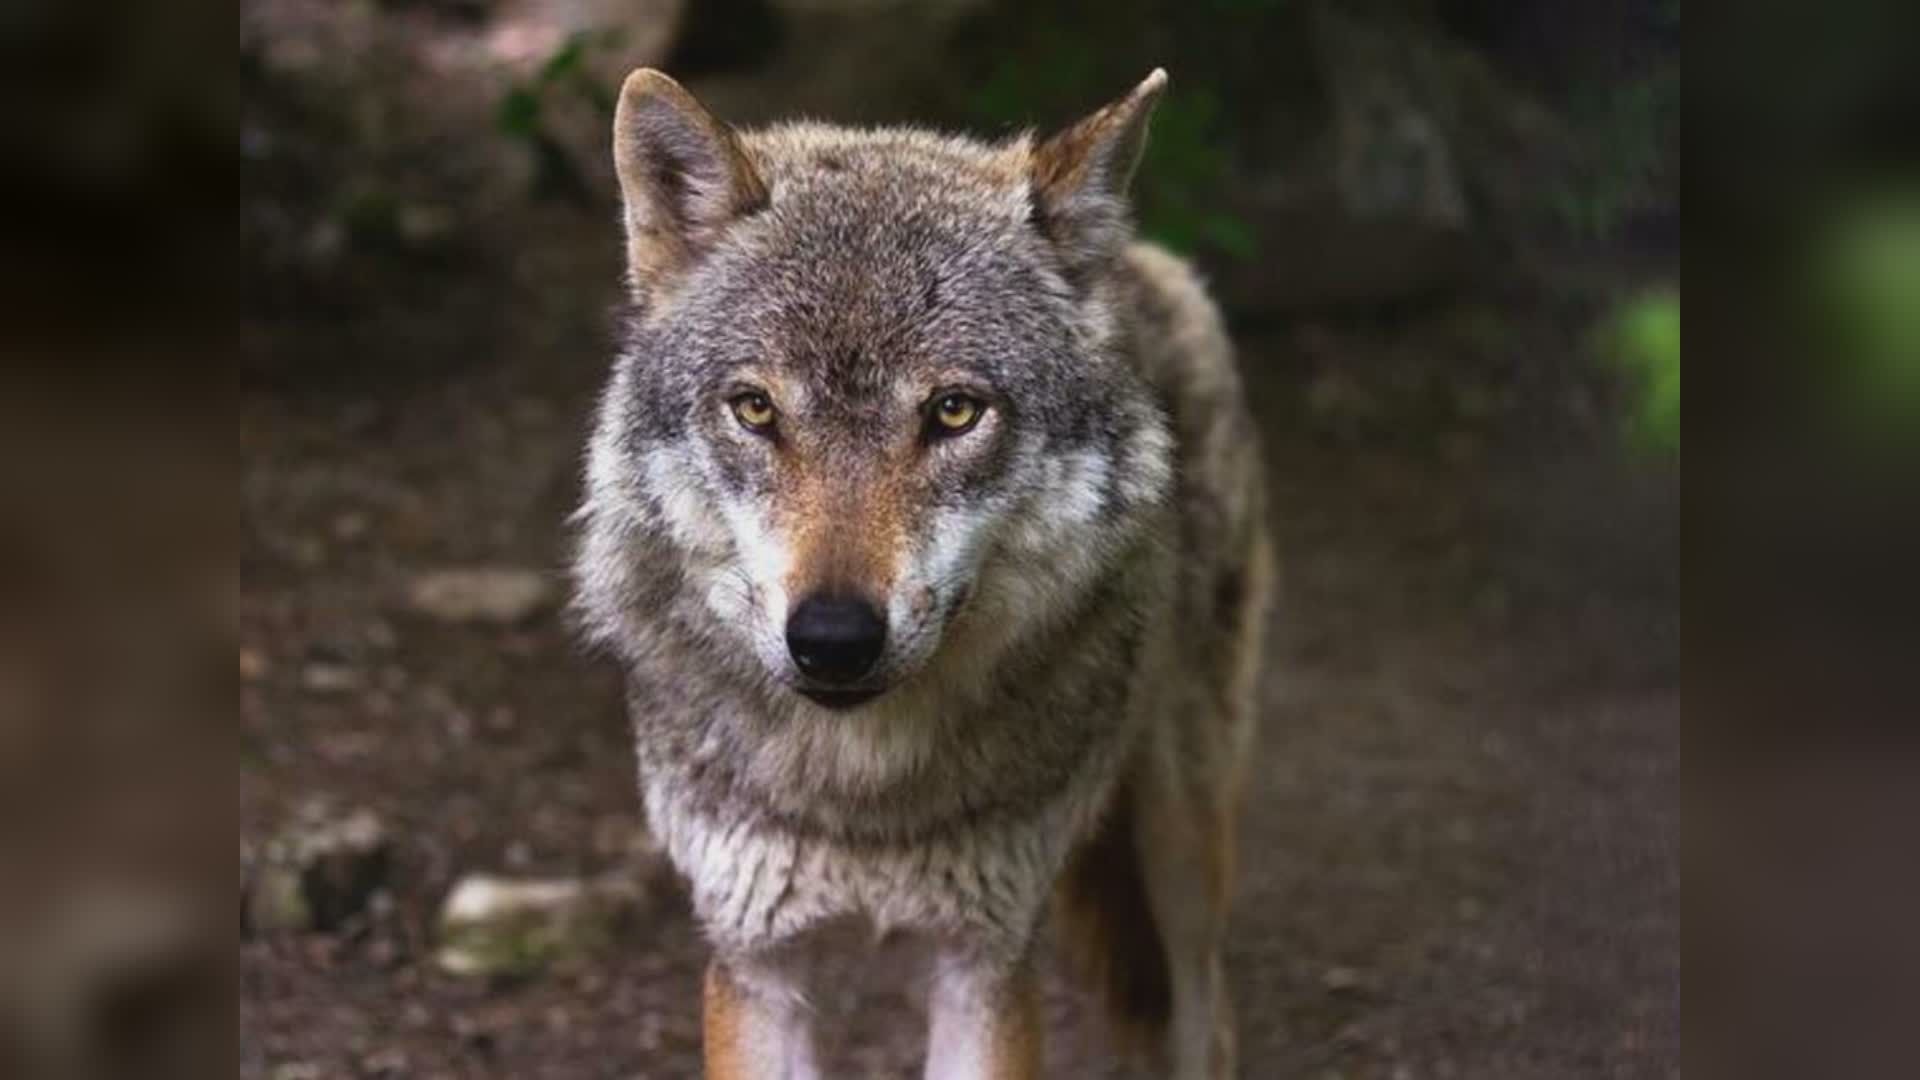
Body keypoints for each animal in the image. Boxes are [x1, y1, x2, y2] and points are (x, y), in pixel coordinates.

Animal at [571, 65, 1272, 1079]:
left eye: (952, 412)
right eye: (755, 409)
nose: (833, 639)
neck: (862, 797)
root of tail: (1138, 258)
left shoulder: (984, 961)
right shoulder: (755, 961)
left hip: (1182, 840)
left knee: (1207, 1014)